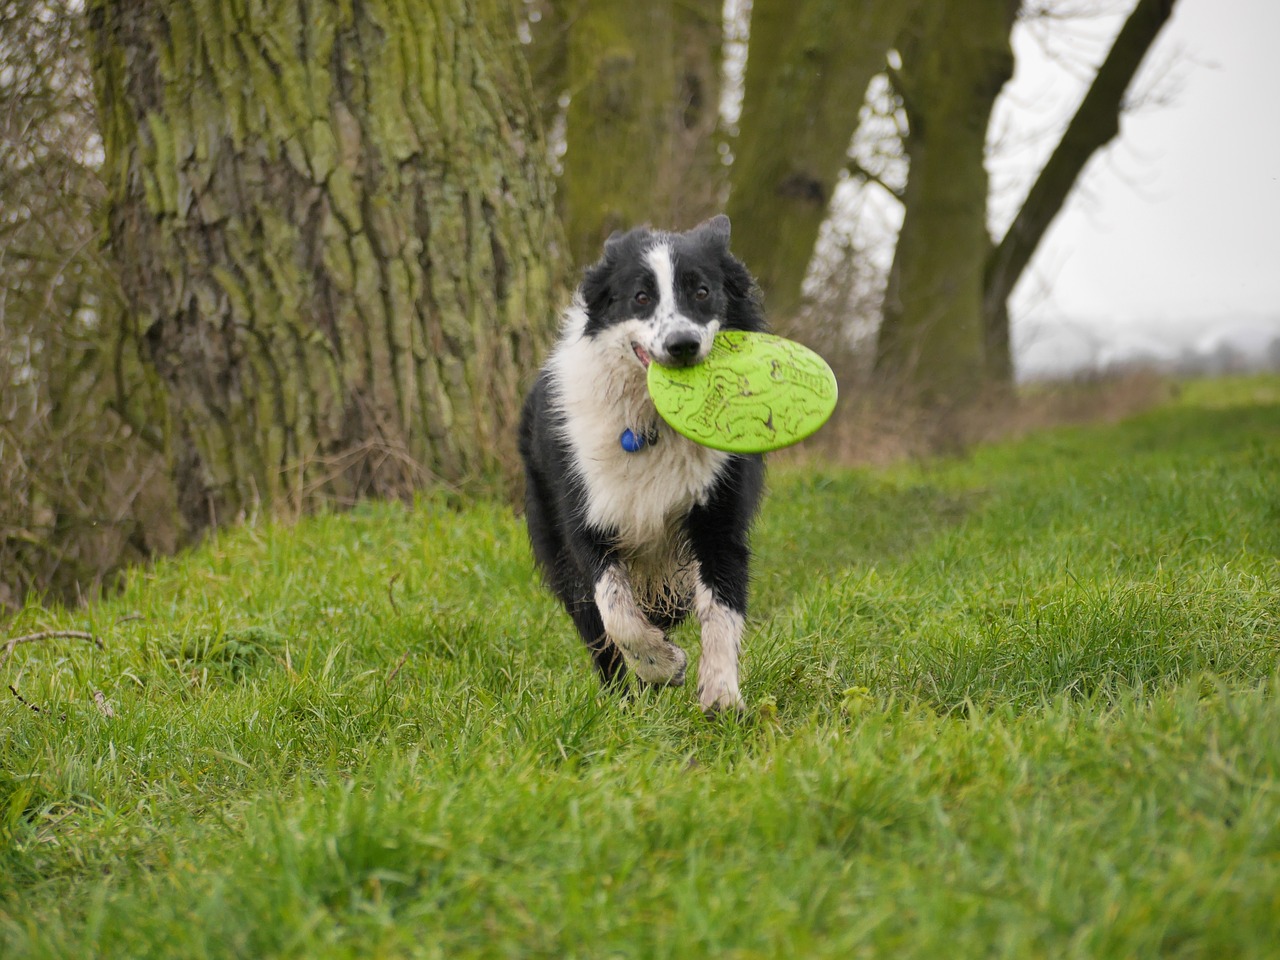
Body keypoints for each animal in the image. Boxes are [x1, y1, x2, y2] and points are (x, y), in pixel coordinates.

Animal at [517, 217, 762, 716]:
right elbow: (616, 612)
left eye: (702, 291)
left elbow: (721, 606)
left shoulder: (718, 513)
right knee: (597, 628)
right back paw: (622, 702)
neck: (655, 419)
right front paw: (663, 665)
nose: (682, 344)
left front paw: (721, 695)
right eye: (641, 297)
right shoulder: (586, 518)